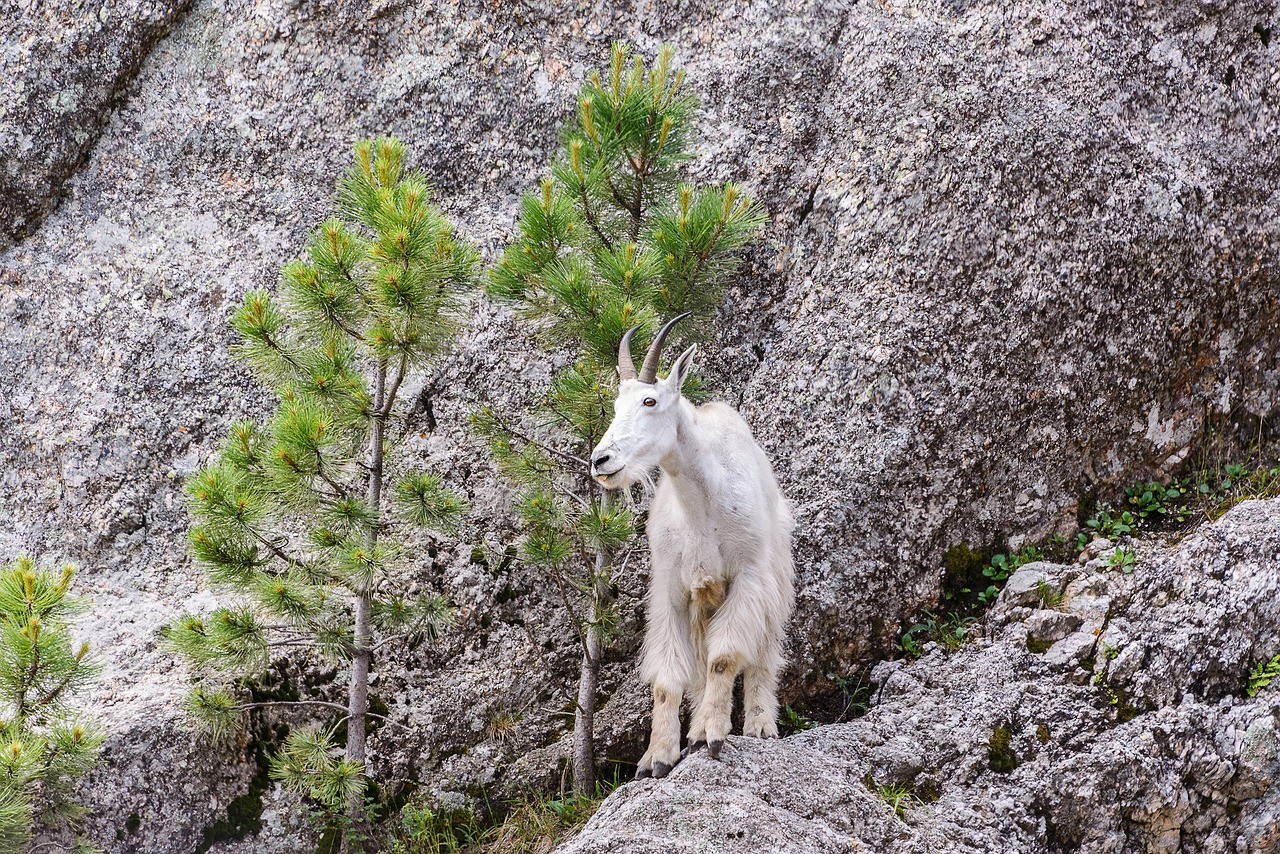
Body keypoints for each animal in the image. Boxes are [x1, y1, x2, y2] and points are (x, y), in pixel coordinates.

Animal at [590, 314, 795, 779]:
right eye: (616, 407)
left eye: (650, 401)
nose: (601, 461)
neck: (703, 505)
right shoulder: (673, 589)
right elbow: (669, 679)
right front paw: (657, 756)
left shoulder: (748, 578)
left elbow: (725, 657)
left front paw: (714, 734)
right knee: (699, 669)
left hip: (774, 574)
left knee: (762, 653)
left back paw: (758, 725)